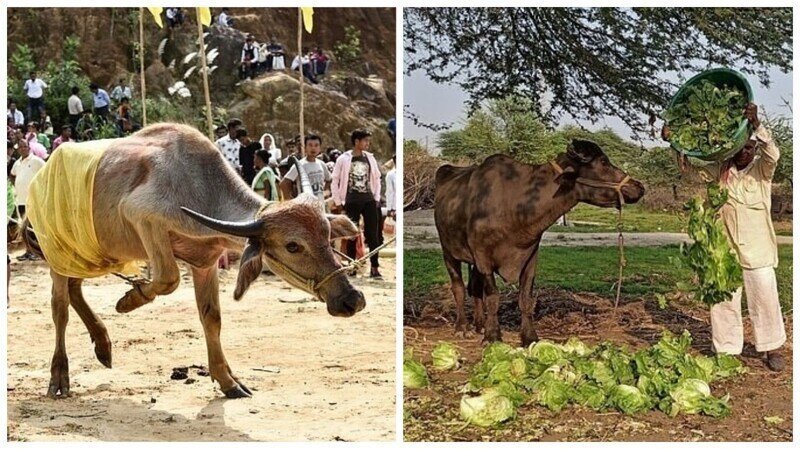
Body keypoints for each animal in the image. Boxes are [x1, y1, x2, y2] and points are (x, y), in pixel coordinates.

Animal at [22, 121, 366, 396]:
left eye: (326, 234)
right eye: (293, 246)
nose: (352, 300)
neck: (198, 189)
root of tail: (38, 182)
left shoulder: (205, 263)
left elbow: (212, 318)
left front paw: (227, 380)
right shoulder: (142, 218)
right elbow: (168, 279)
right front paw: (129, 300)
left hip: (89, 252)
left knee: (75, 289)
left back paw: (103, 344)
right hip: (57, 250)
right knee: (59, 307)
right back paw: (59, 376)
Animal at [434, 140, 648, 346]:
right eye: (603, 162)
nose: (639, 187)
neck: (515, 205)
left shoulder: (529, 257)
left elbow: (525, 299)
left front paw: (529, 336)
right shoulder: (483, 257)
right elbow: (493, 297)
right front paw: (493, 335)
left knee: (476, 289)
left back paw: (479, 324)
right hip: (448, 251)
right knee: (459, 288)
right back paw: (463, 326)